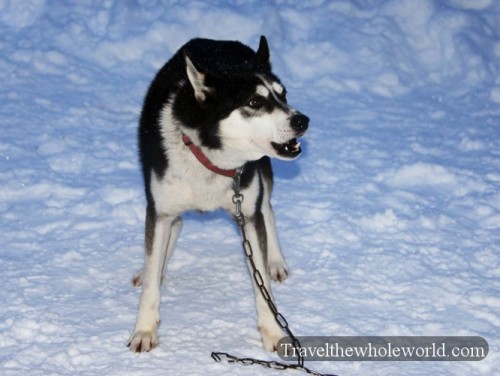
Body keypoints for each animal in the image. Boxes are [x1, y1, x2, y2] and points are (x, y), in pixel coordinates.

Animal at [129, 35, 308, 352]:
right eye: (254, 102)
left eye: (283, 96)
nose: (303, 120)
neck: (207, 156)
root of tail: (219, 41)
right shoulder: (160, 210)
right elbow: (151, 282)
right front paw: (144, 330)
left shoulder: (246, 212)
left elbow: (262, 284)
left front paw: (274, 333)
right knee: (174, 227)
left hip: (261, 175)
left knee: (267, 209)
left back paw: (275, 261)